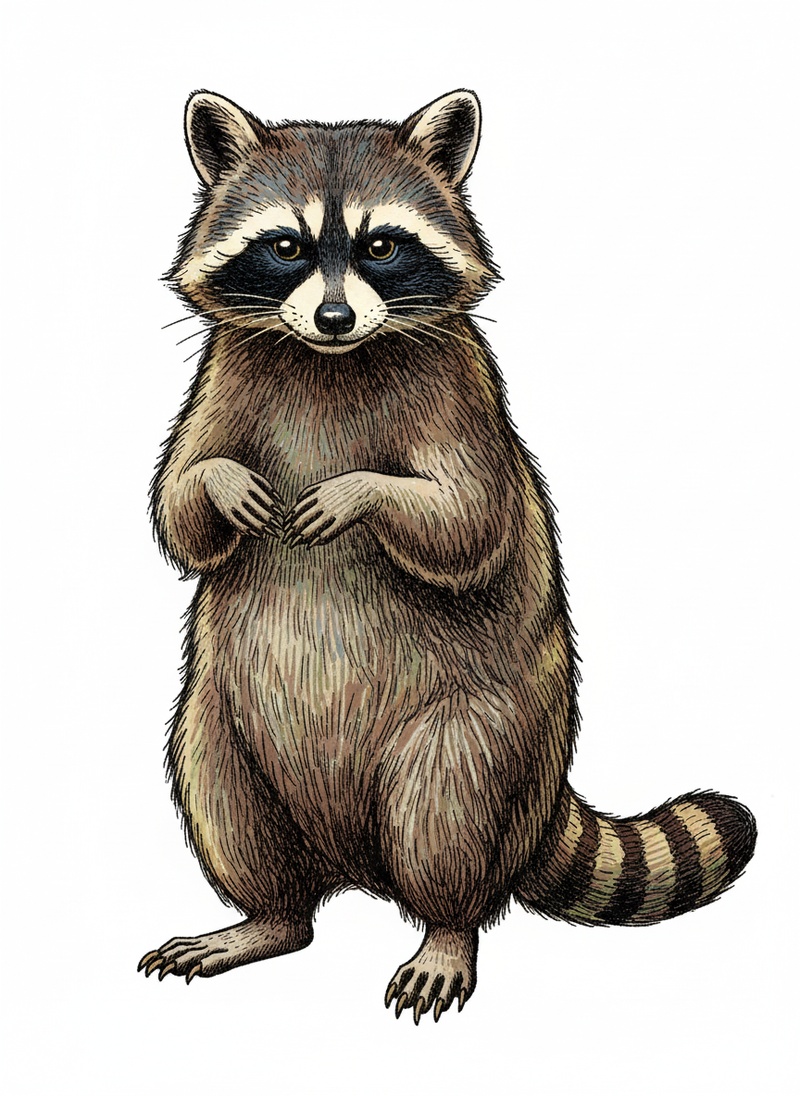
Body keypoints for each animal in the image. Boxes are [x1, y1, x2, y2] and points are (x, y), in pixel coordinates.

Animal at [139, 90, 757, 1023]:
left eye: (380, 246)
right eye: (285, 247)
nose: (333, 318)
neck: (331, 359)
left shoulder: (464, 394)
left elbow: (468, 524)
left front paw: (361, 492)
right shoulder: (220, 381)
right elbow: (180, 508)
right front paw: (218, 483)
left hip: (483, 737)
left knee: (445, 817)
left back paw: (445, 928)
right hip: (221, 724)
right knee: (223, 794)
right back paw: (267, 917)